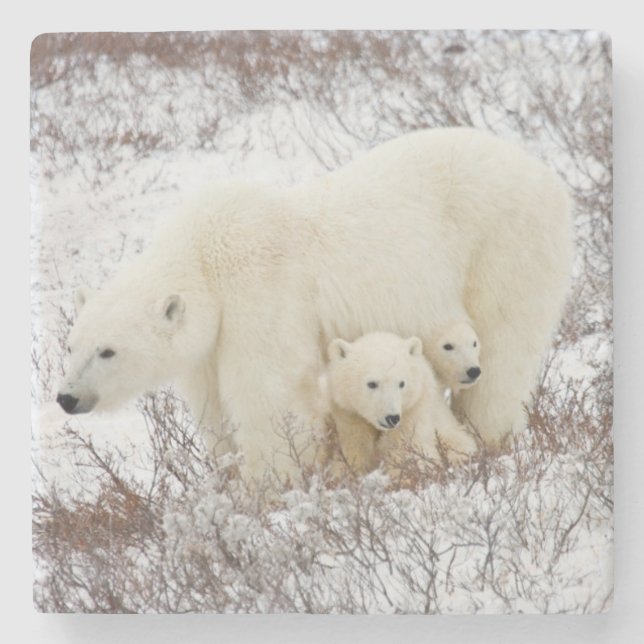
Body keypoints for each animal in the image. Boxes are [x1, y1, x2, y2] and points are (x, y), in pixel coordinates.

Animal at [321, 332, 477, 476]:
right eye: (372, 383)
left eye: (402, 383)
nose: (392, 418)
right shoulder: (349, 414)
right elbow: (353, 449)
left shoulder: (413, 412)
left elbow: (408, 452)